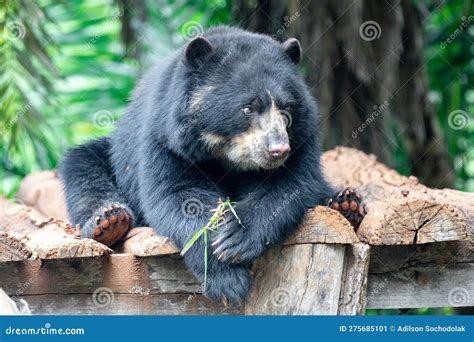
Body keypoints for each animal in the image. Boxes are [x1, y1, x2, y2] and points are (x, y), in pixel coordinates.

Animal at [58, 26, 362, 304]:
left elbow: (289, 184)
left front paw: (235, 238)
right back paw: (110, 221)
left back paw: (346, 204)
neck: (224, 155)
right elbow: (178, 195)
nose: (277, 150)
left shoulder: (302, 139)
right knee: (84, 168)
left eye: (286, 109)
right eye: (248, 108)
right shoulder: (165, 141)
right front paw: (227, 279)